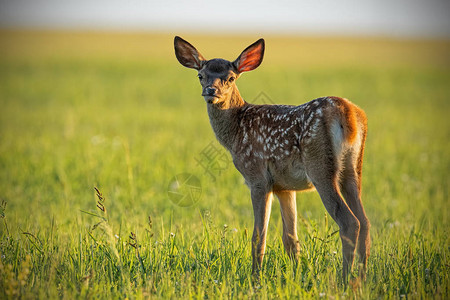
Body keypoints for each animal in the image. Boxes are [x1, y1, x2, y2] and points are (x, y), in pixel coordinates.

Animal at [174, 36, 370, 282]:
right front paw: (297, 275)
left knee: (350, 222)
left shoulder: (257, 177)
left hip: (321, 168)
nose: (211, 91)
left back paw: (344, 281)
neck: (236, 131)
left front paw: (255, 279)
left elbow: (259, 236)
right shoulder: (284, 186)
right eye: (200, 75)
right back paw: (362, 278)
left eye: (230, 78)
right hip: (352, 170)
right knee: (365, 221)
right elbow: (291, 239)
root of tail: (348, 113)